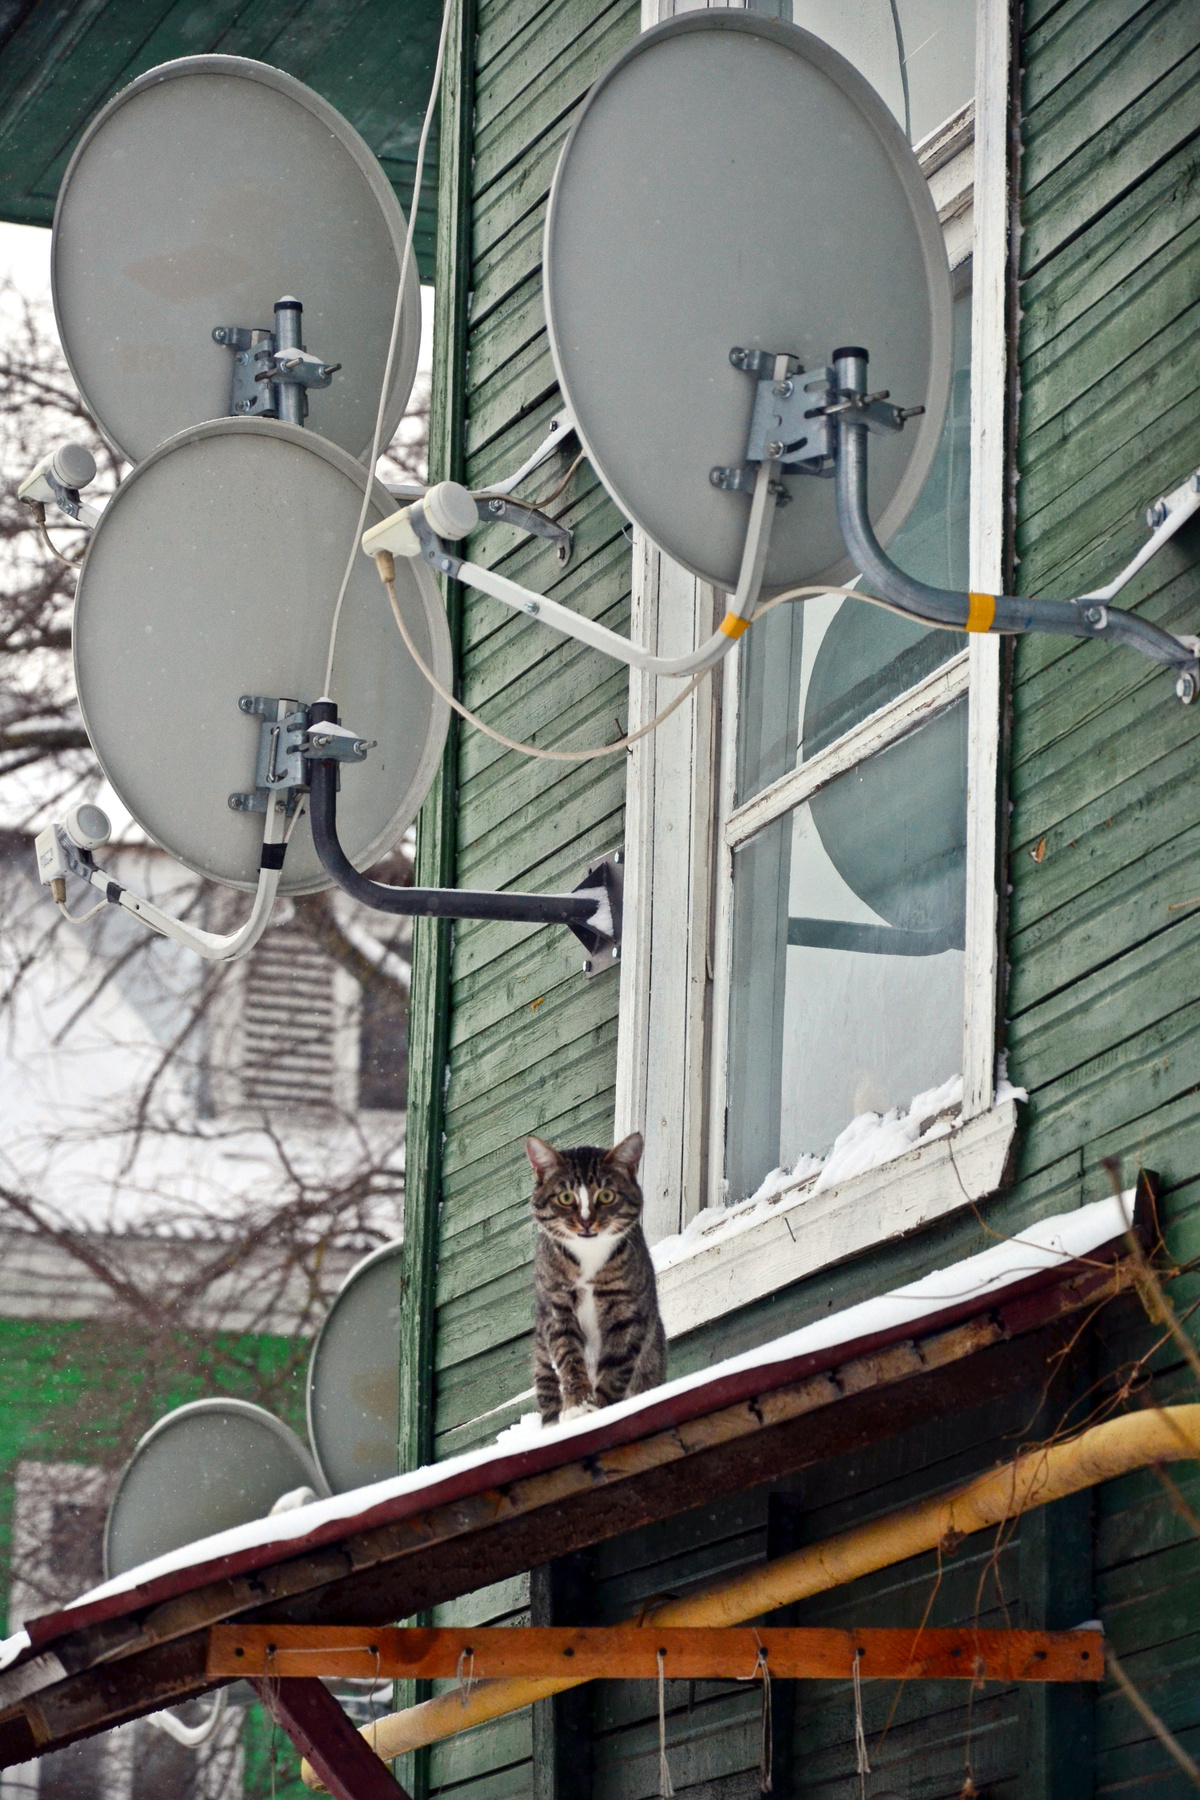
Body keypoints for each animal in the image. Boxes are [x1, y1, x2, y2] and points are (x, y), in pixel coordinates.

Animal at [526, 1131, 667, 1426]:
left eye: (606, 1195)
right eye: (565, 1197)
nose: (586, 1221)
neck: (588, 1256)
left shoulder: (627, 1308)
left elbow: (616, 1364)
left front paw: (601, 1409)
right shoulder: (557, 1306)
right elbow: (568, 1356)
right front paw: (578, 1406)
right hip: (542, 1358)